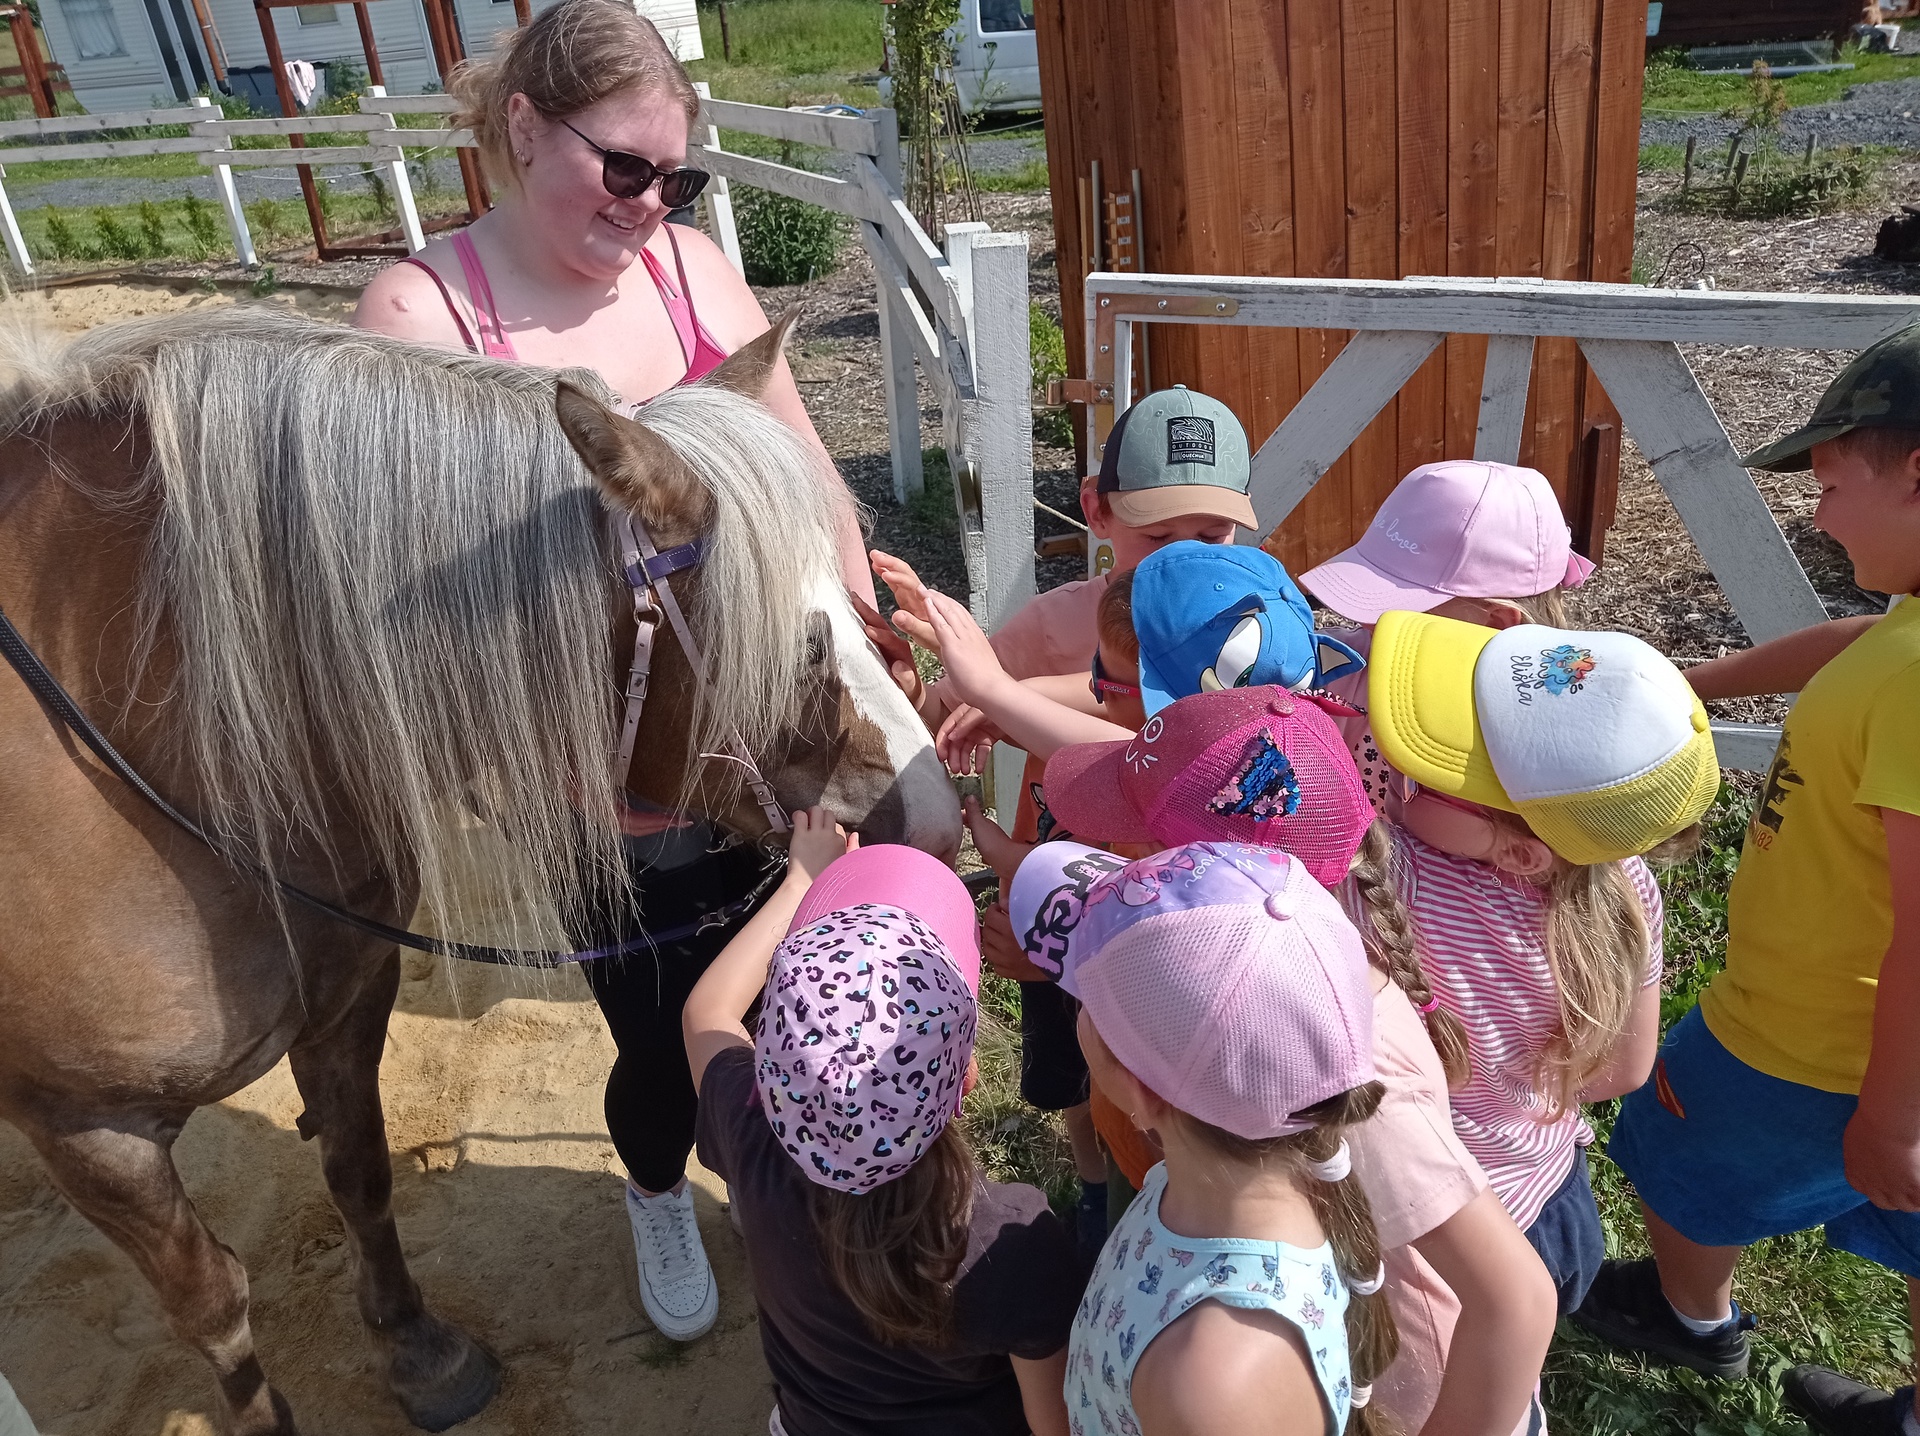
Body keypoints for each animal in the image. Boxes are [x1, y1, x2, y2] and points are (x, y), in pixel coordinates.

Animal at [0, 304, 960, 1434]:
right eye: (794, 648)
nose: (936, 825)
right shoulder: (88, 1128)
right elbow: (214, 1301)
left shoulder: (347, 1002)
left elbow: (361, 1175)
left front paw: (420, 1350)